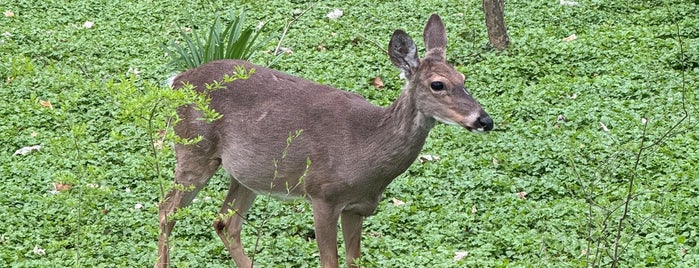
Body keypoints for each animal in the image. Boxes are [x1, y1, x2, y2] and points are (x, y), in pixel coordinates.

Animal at [156, 13, 494, 268]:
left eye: (464, 79)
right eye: (438, 84)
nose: (484, 120)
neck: (367, 150)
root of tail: (177, 80)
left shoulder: (358, 208)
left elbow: (354, 262)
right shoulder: (323, 195)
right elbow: (329, 262)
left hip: (248, 173)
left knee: (225, 222)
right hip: (193, 148)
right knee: (167, 209)